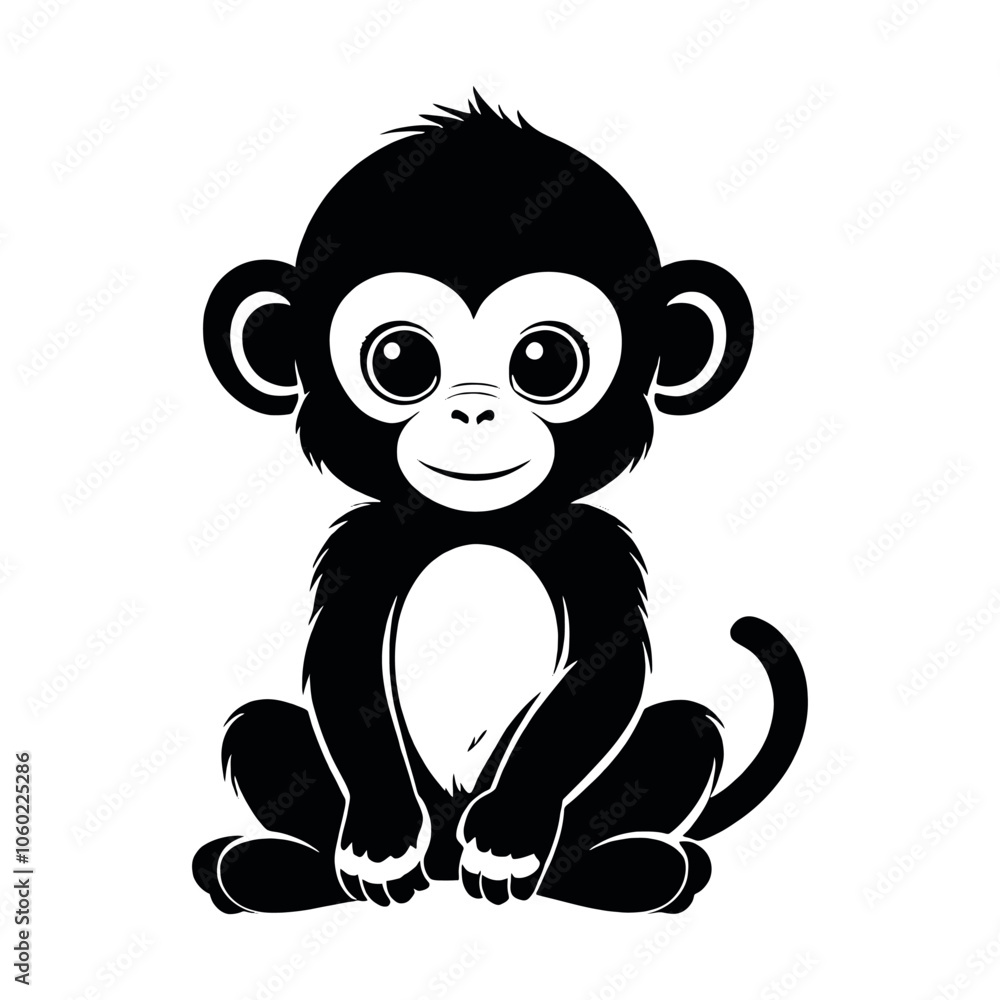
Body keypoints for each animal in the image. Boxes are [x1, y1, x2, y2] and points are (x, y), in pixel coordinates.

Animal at [192, 92, 807, 915]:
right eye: (400, 360)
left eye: (544, 360)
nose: (474, 412)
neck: (478, 523)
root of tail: (445, 863)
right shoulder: (366, 541)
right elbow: (347, 667)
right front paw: (381, 839)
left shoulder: (593, 545)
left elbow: (599, 673)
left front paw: (510, 835)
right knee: (262, 732)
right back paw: (273, 869)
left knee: (680, 736)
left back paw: (627, 867)